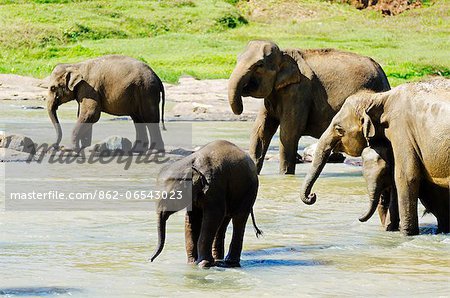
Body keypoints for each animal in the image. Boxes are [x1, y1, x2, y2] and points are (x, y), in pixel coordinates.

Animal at [149, 140, 262, 268]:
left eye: (171, 196)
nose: (150, 260)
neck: (190, 164)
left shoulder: (214, 185)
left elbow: (213, 216)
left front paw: (203, 264)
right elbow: (192, 219)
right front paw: (192, 263)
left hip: (250, 190)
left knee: (239, 219)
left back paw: (230, 262)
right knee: (224, 220)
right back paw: (218, 260)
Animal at [229, 39, 390, 175]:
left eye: (259, 65)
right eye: (237, 59)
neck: (284, 55)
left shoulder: (299, 91)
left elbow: (289, 133)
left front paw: (285, 176)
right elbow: (261, 130)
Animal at [300, 79, 450, 235]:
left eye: (339, 129)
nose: (312, 196)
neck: (380, 97)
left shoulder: (401, 129)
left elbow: (406, 176)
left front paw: (406, 234)